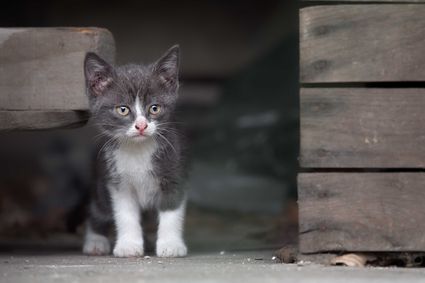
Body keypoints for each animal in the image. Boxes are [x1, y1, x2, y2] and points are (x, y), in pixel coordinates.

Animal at [80, 45, 186, 258]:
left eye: (154, 108)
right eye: (123, 109)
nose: (141, 126)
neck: (138, 150)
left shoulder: (174, 172)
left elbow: (172, 210)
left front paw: (171, 244)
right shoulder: (117, 181)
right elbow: (125, 213)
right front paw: (128, 245)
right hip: (100, 183)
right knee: (97, 210)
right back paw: (95, 241)